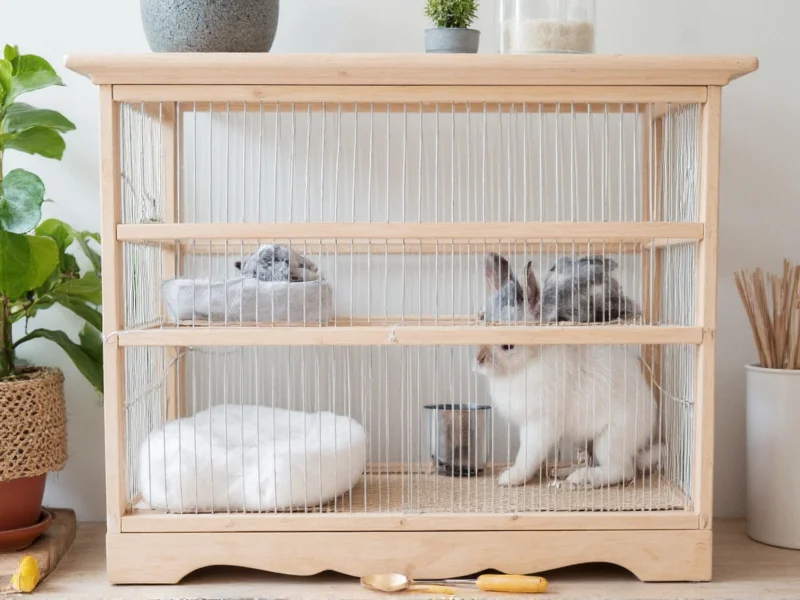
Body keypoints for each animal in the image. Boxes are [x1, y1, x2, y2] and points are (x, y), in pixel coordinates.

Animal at [476, 253, 665, 489]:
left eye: (508, 346)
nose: (479, 360)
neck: (528, 362)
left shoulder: (539, 425)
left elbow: (528, 456)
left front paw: (509, 479)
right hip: (586, 441)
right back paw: (564, 471)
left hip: (610, 439)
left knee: (622, 470)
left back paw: (581, 478)